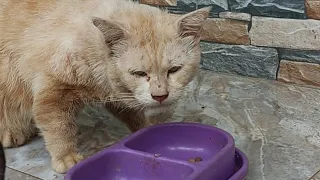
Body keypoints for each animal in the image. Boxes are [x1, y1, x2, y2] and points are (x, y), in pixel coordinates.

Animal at [0, 0, 211, 174]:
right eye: (139, 73)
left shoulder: (120, 94)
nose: (160, 96)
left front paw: (145, 130)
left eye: (174, 70)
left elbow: (134, 115)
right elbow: (58, 127)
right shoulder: (52, 92)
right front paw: (66, 157)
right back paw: (12, 132)